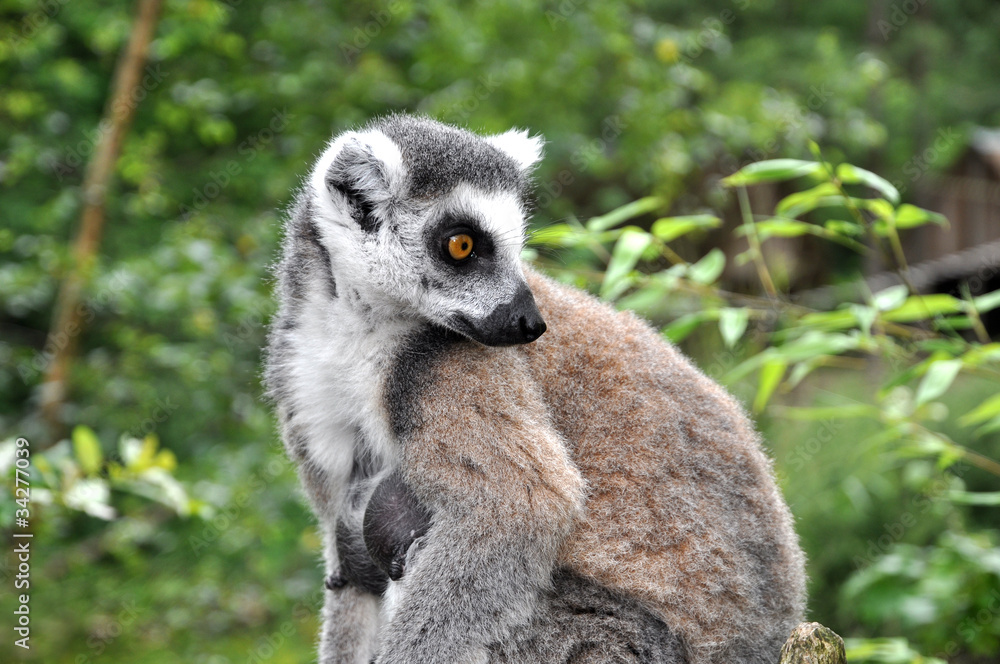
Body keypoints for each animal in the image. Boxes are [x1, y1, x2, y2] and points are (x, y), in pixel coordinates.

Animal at [264, 114, 806, 664]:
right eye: (461, 245)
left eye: (518, 246)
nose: (530, 323)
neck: (359, 333)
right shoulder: (302, 377)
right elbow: (349, 566)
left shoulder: (447, 366)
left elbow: (523, 507)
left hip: (608, 646)